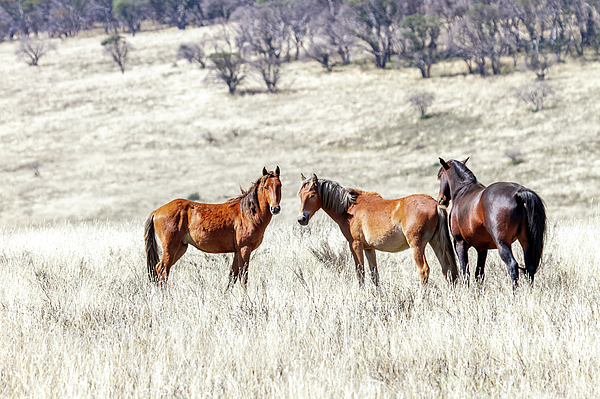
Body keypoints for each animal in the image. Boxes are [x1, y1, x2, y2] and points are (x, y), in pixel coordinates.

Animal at [147, 167, 284, 290]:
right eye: (266, 187)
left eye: (280, 185)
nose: (275, 208)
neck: (247, 213)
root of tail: (156, 211)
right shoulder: (244, 248)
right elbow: (243, 278)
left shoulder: (237, 251)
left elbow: (232, 277)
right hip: (170, 247)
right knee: (163, 270)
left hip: (180, 248)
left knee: (161, 269)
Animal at [296, 175, 460, 288]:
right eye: (300, 195)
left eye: (312, 195)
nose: (301, 218)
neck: (349, 208)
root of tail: (436, 204)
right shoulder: (369, 249)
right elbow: (374, 275)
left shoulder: (355, 245)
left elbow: (360, 273)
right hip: (436, 242)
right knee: (447, 269)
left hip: (417, 246)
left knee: (424, 270)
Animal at [438, 158, 548, 286]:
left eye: (440, 175)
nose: (441, 199)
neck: (463, 192)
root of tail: (518, 193)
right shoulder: (482, 248)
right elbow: (479, 273)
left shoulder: (460, 243)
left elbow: (465, 271)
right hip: (526, 241)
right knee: (529, 266)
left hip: (502, 243)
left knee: (512, 265)